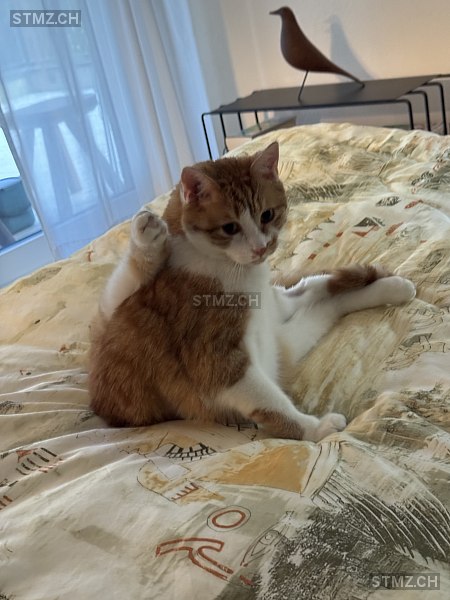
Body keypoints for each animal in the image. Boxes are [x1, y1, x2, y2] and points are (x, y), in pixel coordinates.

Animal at [88, 141, 416, 441]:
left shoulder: (279, 302)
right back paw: (147, 236)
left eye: (267, 215)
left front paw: (387, 285)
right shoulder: (219, 364)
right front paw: (314, 429)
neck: (233, 270)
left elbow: (319, 284)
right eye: (230, 228)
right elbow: (271, 403)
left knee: (326, 303)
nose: (261, 248)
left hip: (287, 336)